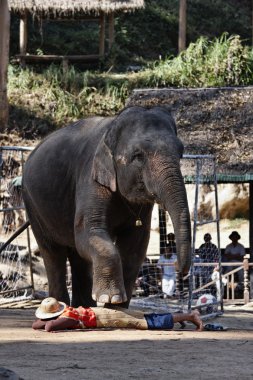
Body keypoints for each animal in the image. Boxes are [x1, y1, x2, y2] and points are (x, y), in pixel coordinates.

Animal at [22, 105, 192, 308]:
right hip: (33, 205)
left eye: (181, 153)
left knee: (78, 255)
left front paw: (117, 306)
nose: (178, 267)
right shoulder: (90, 177)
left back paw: (84, 307)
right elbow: (90, 231)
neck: (111, 128)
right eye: (138, 156)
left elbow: (136, 243)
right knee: (53, 252)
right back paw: (60, 305)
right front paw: (110, 298)